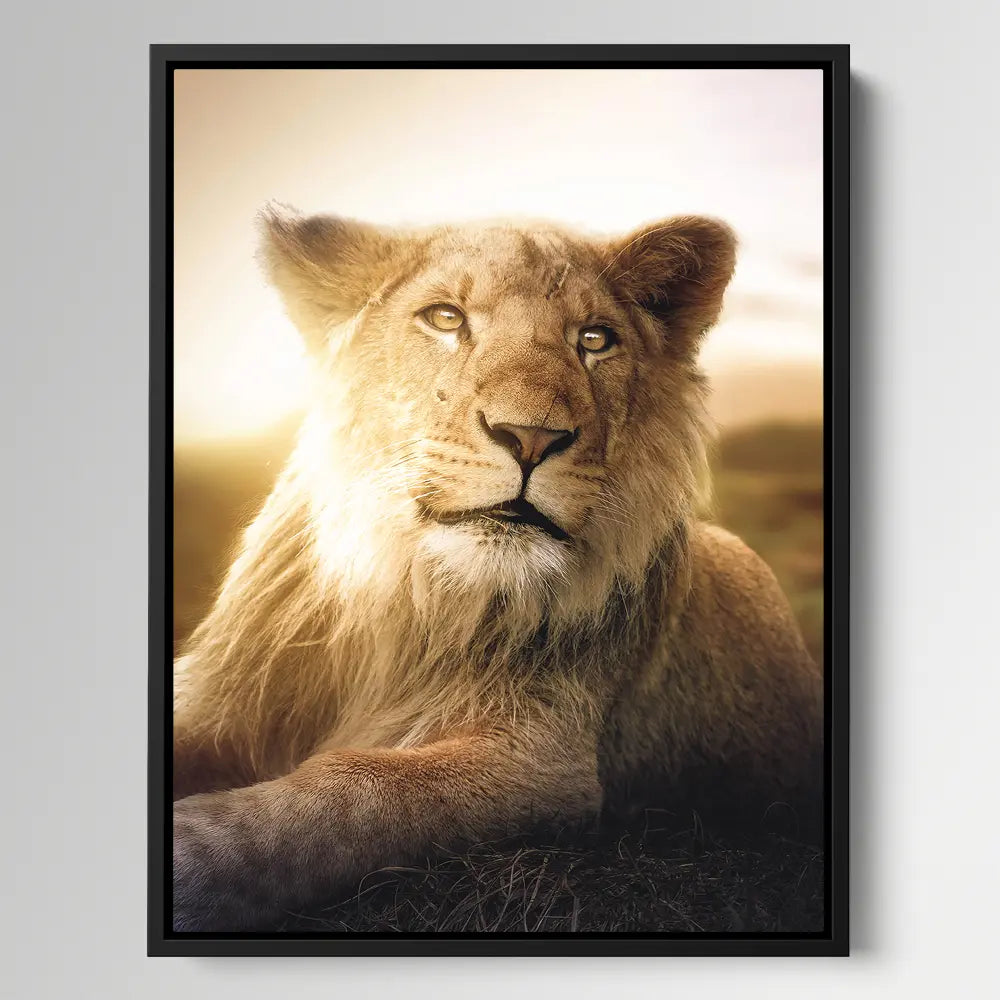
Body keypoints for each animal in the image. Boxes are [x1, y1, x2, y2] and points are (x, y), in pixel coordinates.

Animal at [171, 207, 823, 932]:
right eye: (445, 318)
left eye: (594, 339)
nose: (531, 437)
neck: (410, 599)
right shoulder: (217, 695)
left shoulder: (544, 760)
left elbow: (357, 789)